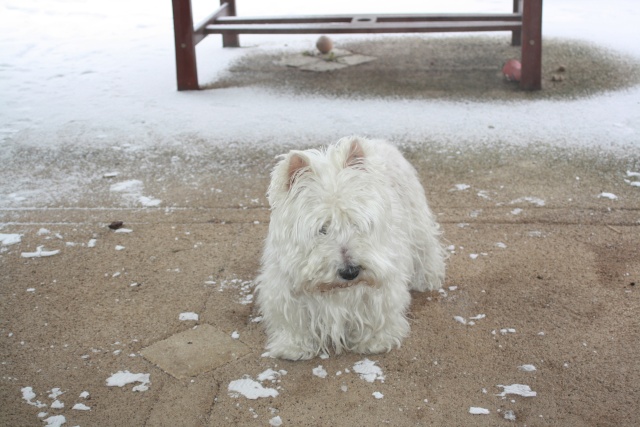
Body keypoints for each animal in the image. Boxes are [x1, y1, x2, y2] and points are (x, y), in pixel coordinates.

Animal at [255, 137, 444, 362]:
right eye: (323, 228)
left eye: (356, 223)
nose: (351, 272)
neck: (335, 290)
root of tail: (379, 141)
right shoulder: (285, 289)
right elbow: (291, 320)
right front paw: (293, 347)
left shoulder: (382, 282)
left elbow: (379, 312)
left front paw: (376, 342)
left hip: (417, 221)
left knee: (426, 250)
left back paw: (427, 280)